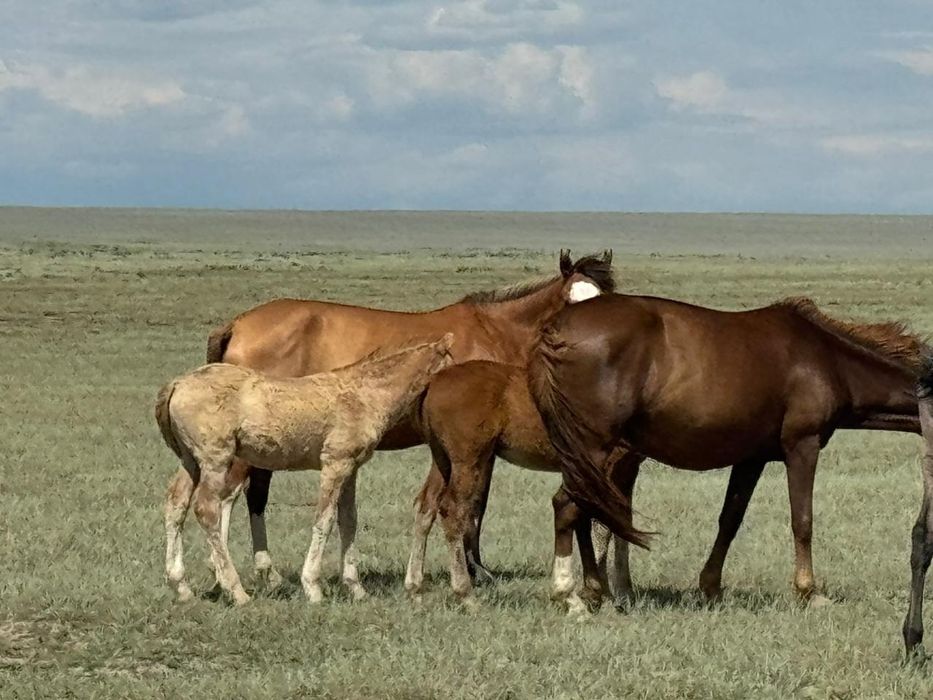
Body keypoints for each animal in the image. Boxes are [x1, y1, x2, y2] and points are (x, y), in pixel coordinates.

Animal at [157, 336, 453, 605]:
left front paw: (355, 588)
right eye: (454, 367)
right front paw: (313, 588)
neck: (363, 395)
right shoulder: (334, 464)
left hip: (190, 461)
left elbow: (349, 520)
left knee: (176, 503)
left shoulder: (351, 468)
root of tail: (178, 383)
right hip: (215, 460)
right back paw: (236, 591)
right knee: (207, 509)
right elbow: (324, 520)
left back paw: (181, 586)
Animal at [170, 250, 615, 586]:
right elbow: (470, 504)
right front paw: (471, 570)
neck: (494, 334)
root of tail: (238, 324)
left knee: (251, 496)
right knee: (227, 495)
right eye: (570, 302)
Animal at [406, 359, 641, 611]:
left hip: (442, 460)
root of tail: (434, 382)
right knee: (453, 511)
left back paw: (415, 588)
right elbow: (607, 525)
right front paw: (610, 593)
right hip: (468, 461)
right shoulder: (613, 468)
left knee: (426, 506)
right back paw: (466, 594)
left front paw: (612, 592)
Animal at [529, 293, 926, 607]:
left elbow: (730, 520)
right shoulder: (802, 446)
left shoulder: (752, 458)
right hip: (593, 447)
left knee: (581, 508)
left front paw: (711, 587)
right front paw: (809, 592)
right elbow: (803, 521)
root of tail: (556, 331)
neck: (830, 361)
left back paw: (596, 590)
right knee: (568, 507)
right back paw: (569, 595)